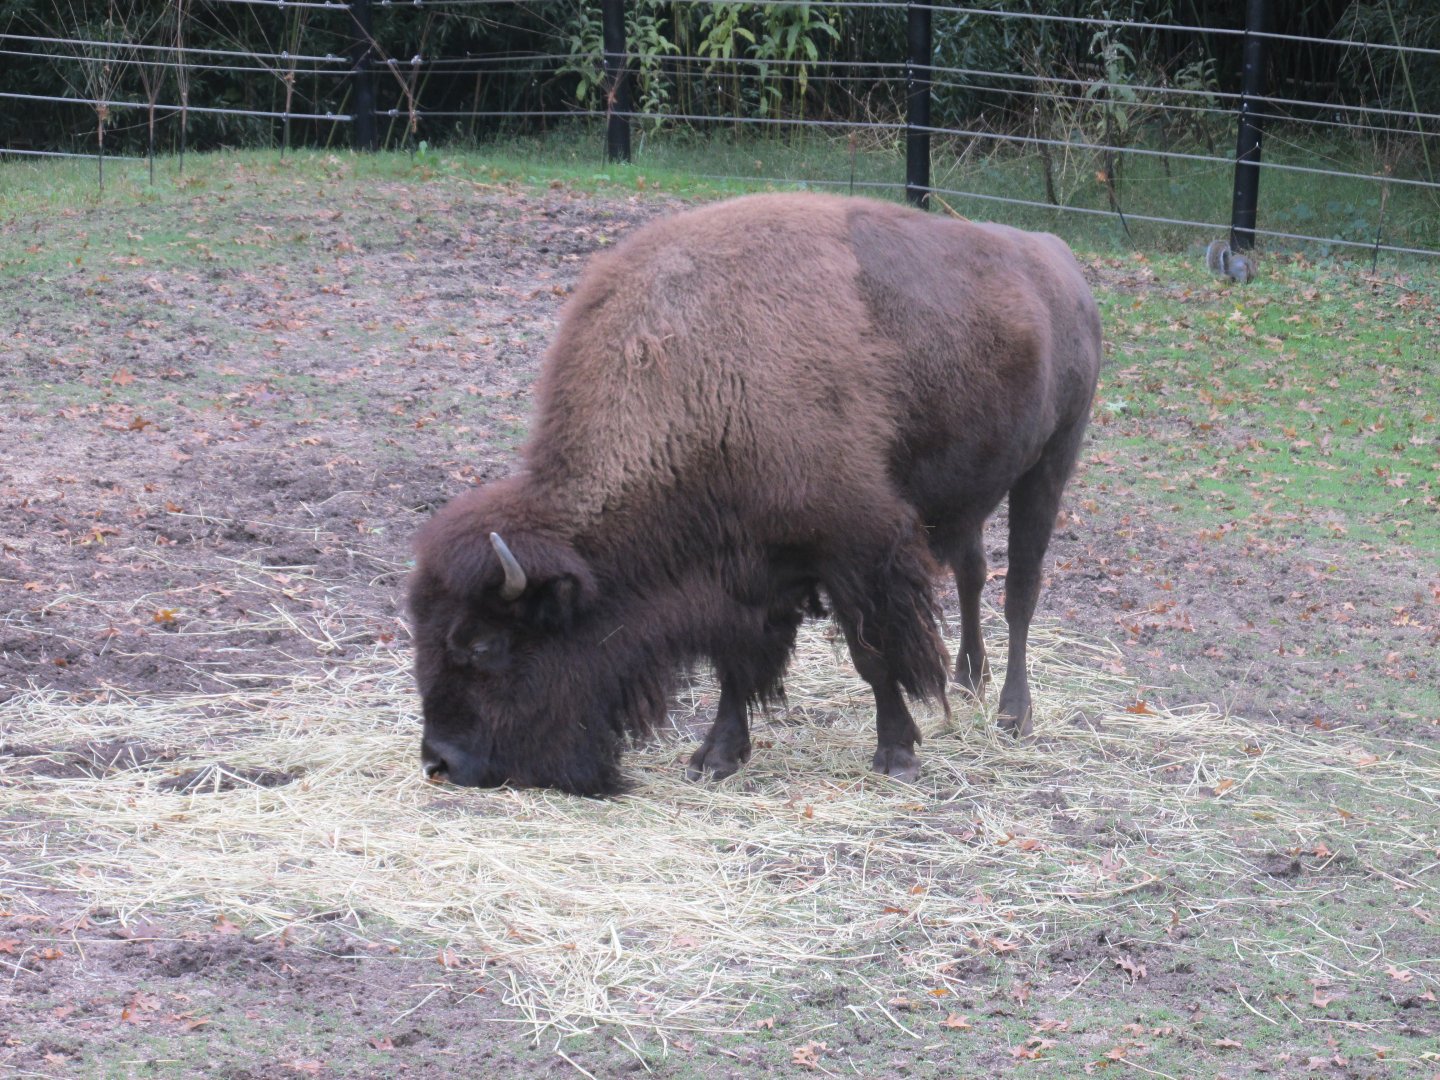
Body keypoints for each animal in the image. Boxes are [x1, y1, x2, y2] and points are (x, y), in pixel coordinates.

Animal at [409, 193, 1102, 795]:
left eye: (483, 645)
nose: (440, 760)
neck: (699, 373)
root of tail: (1060, 260)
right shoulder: (743, 568)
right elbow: (735, 661)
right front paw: (716, 756)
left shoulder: (854, 548)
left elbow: (872, 653)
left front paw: (897, 753)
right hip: (970, 494)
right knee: (973, 573)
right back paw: (967, 683)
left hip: (1050, 462)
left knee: (1020, 590)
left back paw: (1013, 715)